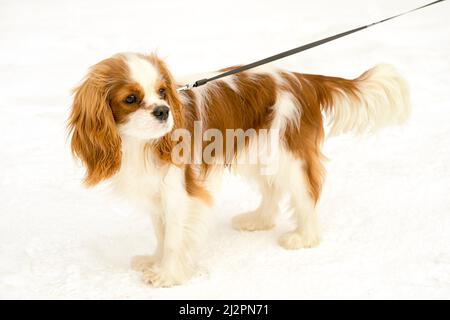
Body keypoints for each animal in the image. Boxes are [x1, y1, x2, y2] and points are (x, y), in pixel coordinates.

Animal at [68, 53, 410, 288]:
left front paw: (168, 274)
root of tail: (303, 79)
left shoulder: (180, 193)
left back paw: (304, 237)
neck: (138, 143)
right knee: (272, 188)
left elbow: (175, 236)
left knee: (306, 193)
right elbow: (162, 232)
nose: (163, 111)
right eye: (131, 99)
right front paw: (154, 260)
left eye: (163, 92)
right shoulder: (157, 192)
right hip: (258, 151)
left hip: (288, 155)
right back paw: (259, 220)